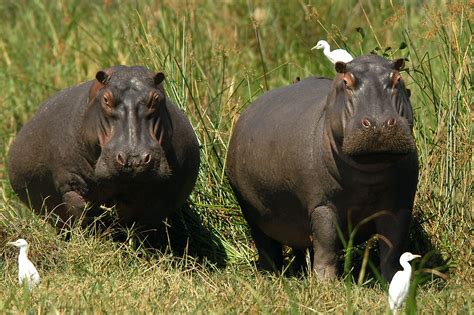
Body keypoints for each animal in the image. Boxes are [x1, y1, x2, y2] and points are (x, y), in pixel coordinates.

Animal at [7, 65, 200, 232]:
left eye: (156, 98)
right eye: (106, 99)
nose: (134, 159)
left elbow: (138, 220)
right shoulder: (70, 183)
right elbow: (80, 213)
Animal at [228, 55, 416, 282]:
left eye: (398, 79)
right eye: (346, 82)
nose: (378, 123)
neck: (370, 172)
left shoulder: (399, 205)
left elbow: (393, 246)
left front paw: (392, 280)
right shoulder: (322, 205)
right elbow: (327, 243)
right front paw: (326, 282)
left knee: (300, 245)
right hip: (251, 212)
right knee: (266, 245)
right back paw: (269, 274)